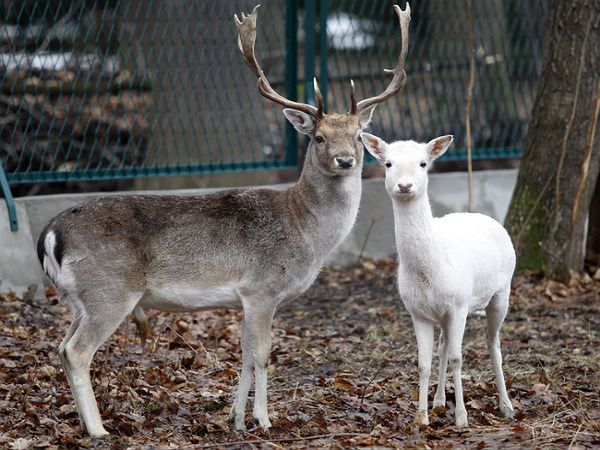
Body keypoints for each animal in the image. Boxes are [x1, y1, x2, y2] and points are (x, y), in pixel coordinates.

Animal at [36, 3, 412, 438]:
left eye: (357, 136)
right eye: (318, 137)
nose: (345, 160)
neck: (304, 231)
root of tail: (50, 234)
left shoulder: (245, 298)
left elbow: (245, 356)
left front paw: (235, 420)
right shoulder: (262, 287)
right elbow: (263, 356)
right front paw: (264, 420)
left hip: (78, 297)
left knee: (61, 347)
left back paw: (86, 423)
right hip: (109, 290)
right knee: (77, 351)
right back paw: (98, 430)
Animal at [360, 133, 516, 426]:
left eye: (423, 163)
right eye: (388, 163)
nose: (405, 185)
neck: (428, 272)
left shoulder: (459, 305)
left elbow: (457, 357)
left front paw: (462, 418)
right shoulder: (417, 312)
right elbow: (424, 363)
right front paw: (420, 417)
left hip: (502, 291)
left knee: (493, 343)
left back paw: (506, 406)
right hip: (442, 314)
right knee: (444, 343)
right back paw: (439, 401)